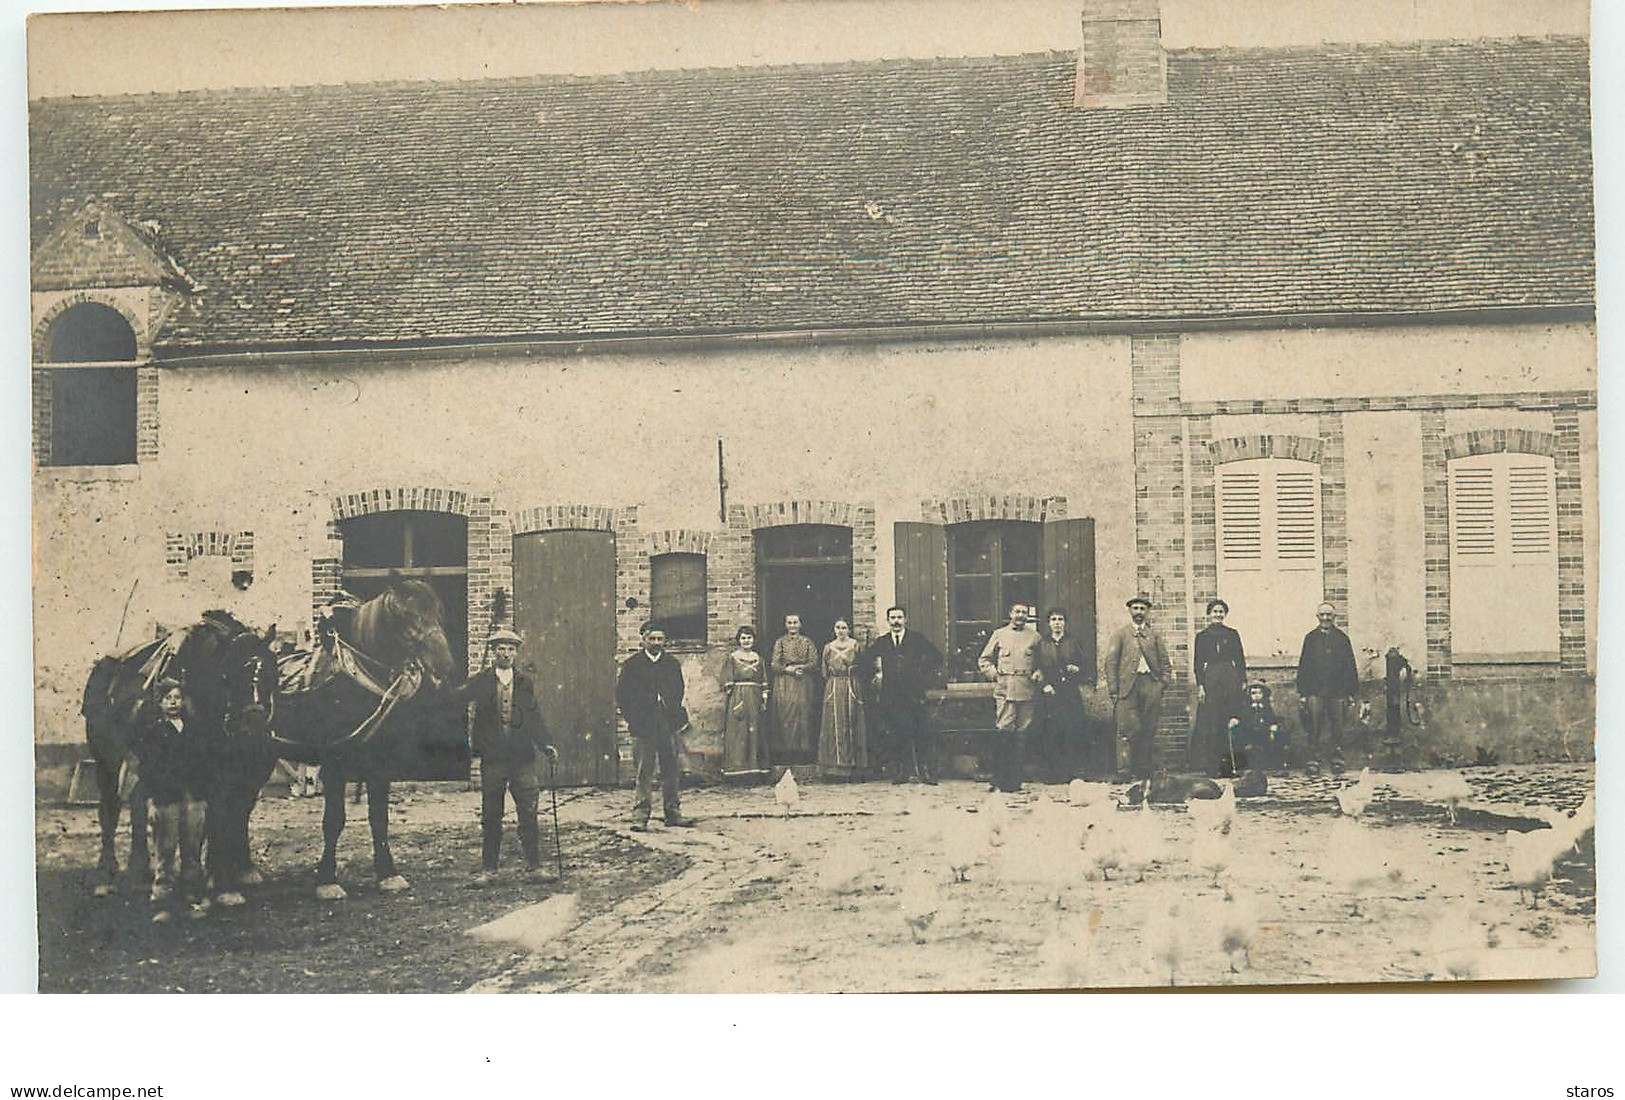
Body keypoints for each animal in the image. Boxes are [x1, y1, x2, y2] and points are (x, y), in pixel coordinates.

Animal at [79, 614, 277, 896]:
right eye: (226, 675)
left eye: (273, 670)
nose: (255, 724)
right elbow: (214, 818)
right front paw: (215, 876)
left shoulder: (247, 777)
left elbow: (237, 815)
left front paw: (243, 869)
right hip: (107, 762)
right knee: (111, 808)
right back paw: (108, 871)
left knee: (138, 805)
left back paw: (139, 868)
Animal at [266, 578, 455, 896]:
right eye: (403, 615)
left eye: (439, 611)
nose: (444, 664)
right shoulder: (334, 760)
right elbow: (334, 820)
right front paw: (327, 881)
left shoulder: (380, 760)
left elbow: (379, 817)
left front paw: (388, 874)